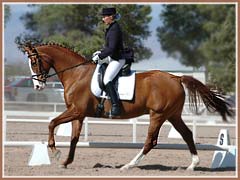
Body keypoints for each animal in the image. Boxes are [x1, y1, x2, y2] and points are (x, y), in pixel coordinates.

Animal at [23, 43, 232, 170]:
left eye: (34, 61)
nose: (37, 86)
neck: (77, 74)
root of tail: (176, 77)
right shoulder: (78, 114)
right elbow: (74, 138)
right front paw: (66, 161)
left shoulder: (76, 110)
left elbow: (51, 123)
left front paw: (55, 152)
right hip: (172, 115)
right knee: (187, 134)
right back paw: (192, 165)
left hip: (158, 115)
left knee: (150, 142)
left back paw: (129, 165)